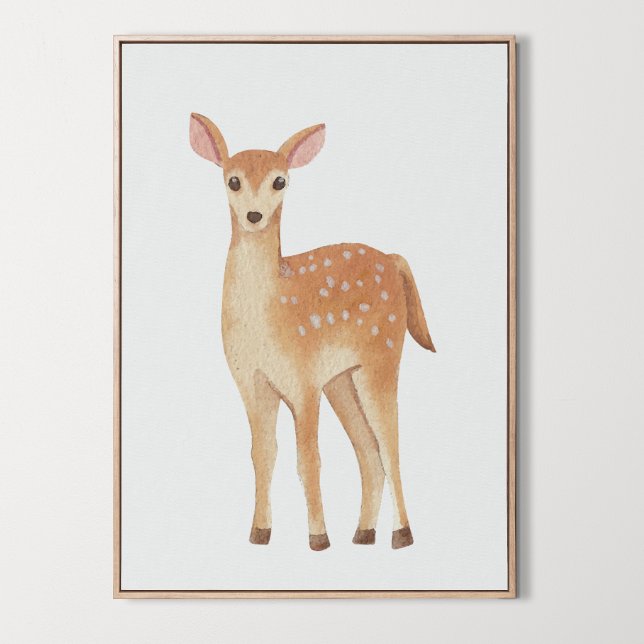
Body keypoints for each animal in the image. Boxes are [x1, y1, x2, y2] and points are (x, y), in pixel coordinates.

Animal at [189, 113, 435, 551]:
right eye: (232, 180)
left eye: (280, 181)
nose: (254, 216)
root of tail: (394, 260)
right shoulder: (251, 382)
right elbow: (262, 454)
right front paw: (260, 532)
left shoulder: (303, 380)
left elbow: (308, 458)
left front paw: (318, 538)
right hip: (341, 380)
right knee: (368, 451)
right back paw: (363, 533)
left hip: (382, 357)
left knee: (390, 444)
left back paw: (400, 535)